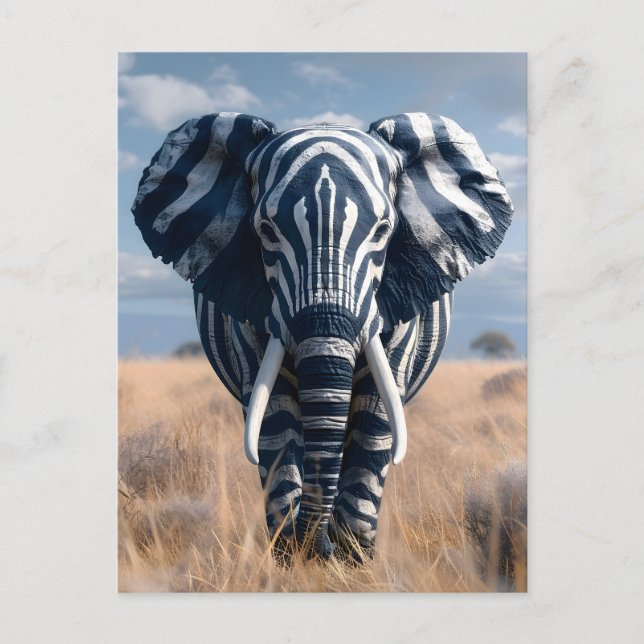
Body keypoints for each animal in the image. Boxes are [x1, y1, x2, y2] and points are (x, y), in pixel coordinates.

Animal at [131, 111, 513, 561]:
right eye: (266, 231)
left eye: (384, 230)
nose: (320, 549)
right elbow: (273, 417)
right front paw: (291, 554)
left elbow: (376, 417)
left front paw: (351, 557)